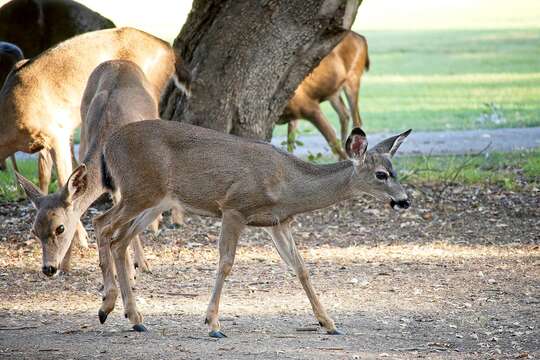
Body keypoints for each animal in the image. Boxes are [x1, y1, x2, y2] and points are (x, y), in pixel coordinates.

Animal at [1, 26, 191, 250]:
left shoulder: (57, 132)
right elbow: (44, 177)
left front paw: (81, 239)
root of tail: (168, 48)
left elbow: (64, 177)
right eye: (35, 230)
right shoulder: (44, 142)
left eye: (60, 228)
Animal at [14, 60, 186, 276]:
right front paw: (67, 264)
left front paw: (137, 266)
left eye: (60, 228)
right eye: (34, 230)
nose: (49, 268)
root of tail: (121, 61)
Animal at [78, 120, 412, 334]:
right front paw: (213, 324)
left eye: (394, 170)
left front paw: (329, 323)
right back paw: (107, 306)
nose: (405, 200)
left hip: (153, 202)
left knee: (119, 239)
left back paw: (134, 317)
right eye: (381, 174)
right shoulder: (234, 208)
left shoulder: (278, 222)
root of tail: (108, 145)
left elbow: (301, 269)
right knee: (101, 223)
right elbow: (226, 263)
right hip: (139, 191)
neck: (288, 184)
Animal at [278, 30, 372, 160]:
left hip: (353, 78)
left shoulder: (309, 106)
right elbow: (290, 144)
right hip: (334, 92)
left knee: (356, 120)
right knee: (344, 114)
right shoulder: (293, 115)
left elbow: (333, 142)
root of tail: (362, 38)